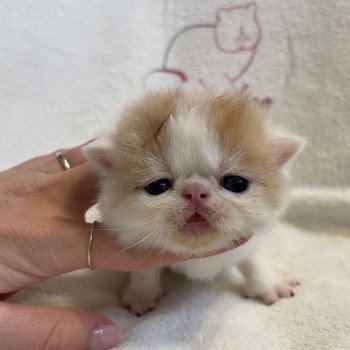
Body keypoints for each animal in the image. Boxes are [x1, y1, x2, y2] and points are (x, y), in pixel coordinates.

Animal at [84, 87, 304, 314]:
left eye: (236, 183)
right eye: (157, 187)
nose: (195, 191)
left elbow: (253, 261)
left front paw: (268, 284)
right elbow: (144, 271)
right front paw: (141, 295)